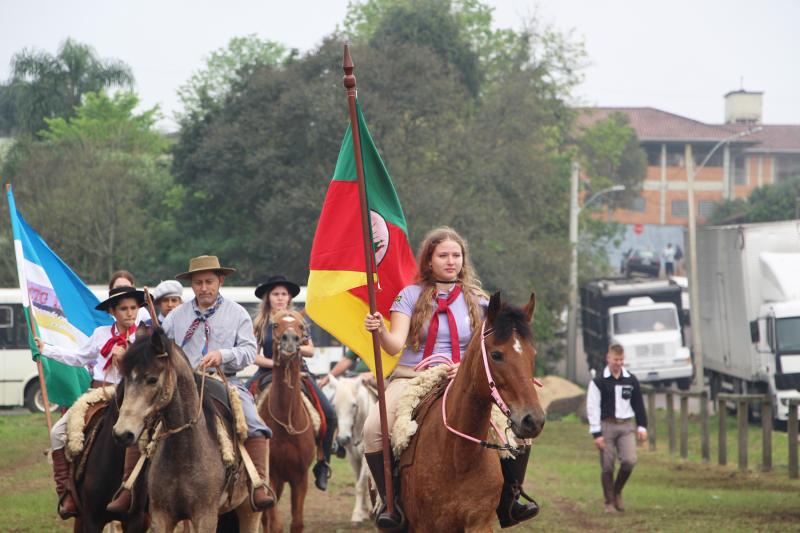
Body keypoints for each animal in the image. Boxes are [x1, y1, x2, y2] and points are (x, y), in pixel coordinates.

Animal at [109, 328, 258, 532]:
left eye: (152, 379)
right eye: (125, 379)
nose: (122, 434)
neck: (183, 452)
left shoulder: (205, 517)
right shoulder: (161, 516)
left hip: (248, 511)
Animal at [258, 308, 318, 532]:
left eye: (301, 326)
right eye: (275, 325)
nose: (290, 339)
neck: (286, 422)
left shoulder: (300, 478)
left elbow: (297, 522)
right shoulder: (271, 478)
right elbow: (275, 524)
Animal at [324, 374, 376, 520]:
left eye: (353, 405)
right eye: (334, 405)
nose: (343, 438)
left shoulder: (365, 458)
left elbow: (360, 485)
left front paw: (357, 514)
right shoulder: (353, 458)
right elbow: (360, 482)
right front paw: (363, 511)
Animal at [398, 294, 544, 528]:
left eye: (533, 354)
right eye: (496, 355)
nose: (534, 420)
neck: (458, 456)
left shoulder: (479, 523)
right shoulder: (423, 525)